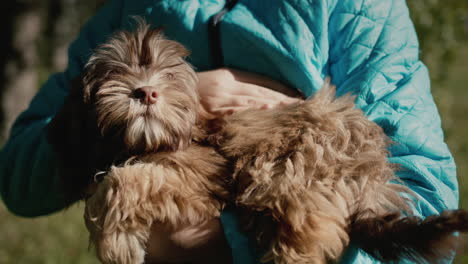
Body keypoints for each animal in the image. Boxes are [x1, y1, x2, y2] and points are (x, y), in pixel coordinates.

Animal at [48, 19, 468, 264]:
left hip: (290, 170)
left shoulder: (202, 175)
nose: (146, 93)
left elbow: (125, 181)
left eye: (167, 75)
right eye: (115, 73)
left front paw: (115, 240)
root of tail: (374, 176)